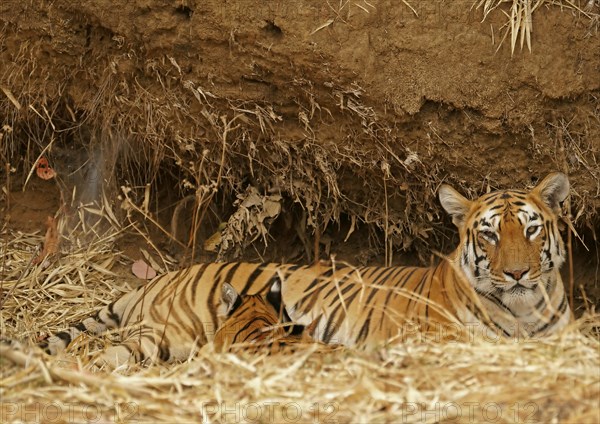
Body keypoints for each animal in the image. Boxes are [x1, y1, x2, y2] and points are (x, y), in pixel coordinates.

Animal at [7, 172, 572, 368]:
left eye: (531, 230)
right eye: (489, 235)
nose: (517, 275)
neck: (526, 309)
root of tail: (166, 276)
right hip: (166, 335)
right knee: (107, 355)